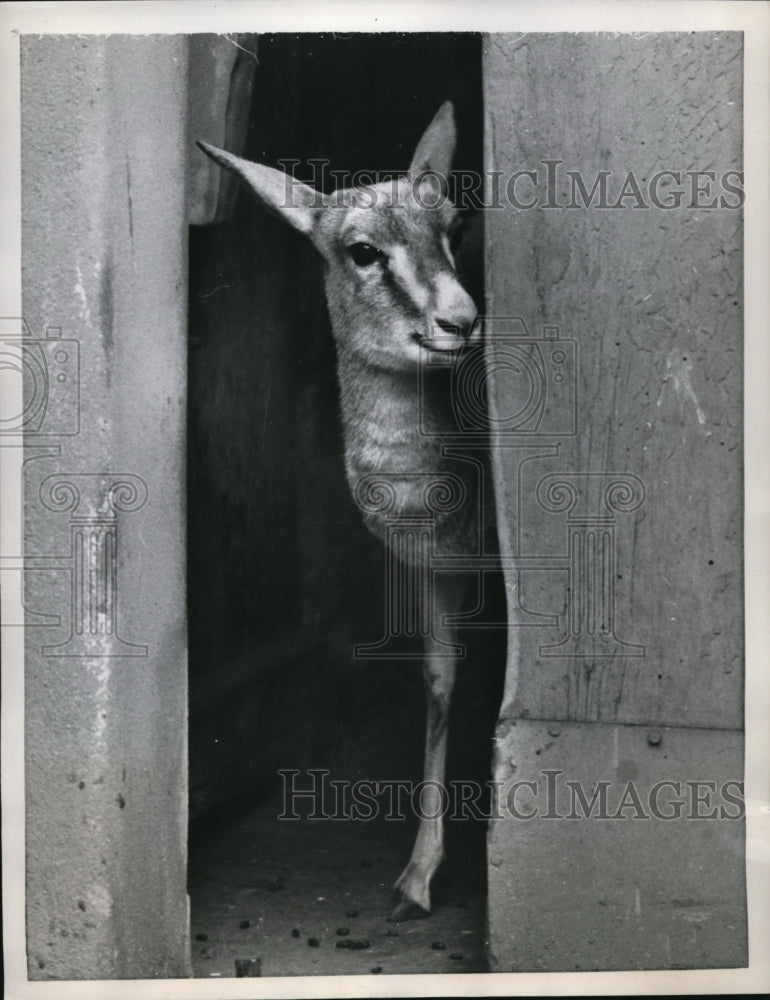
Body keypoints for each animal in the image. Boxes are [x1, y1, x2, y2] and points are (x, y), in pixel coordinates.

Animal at [198, 102, 491, 921]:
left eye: (454, 226)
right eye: (362, 250)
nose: (461, 322)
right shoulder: (437, 569)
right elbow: (439, 682)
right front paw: (416, 878)